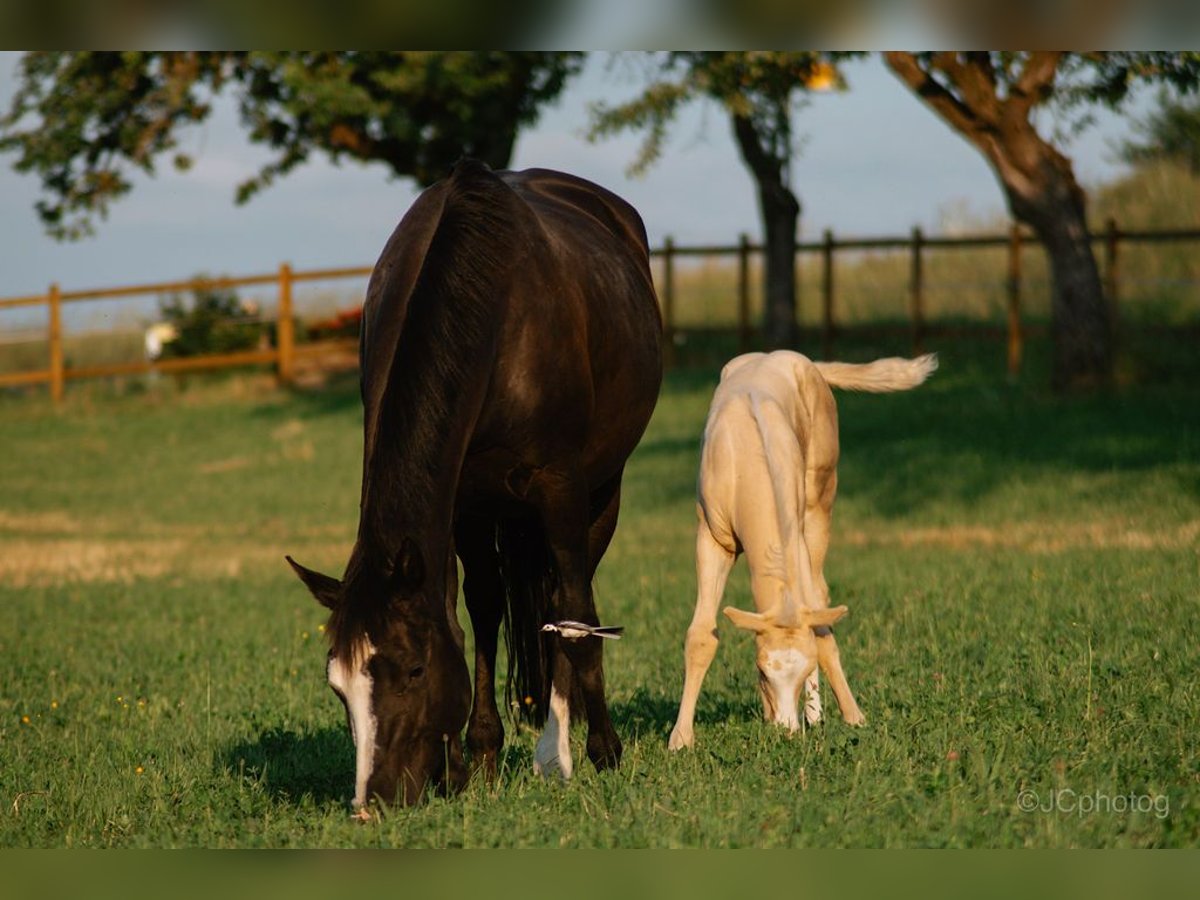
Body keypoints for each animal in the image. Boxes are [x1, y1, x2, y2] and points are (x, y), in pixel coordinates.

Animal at [288, 160, 667, 811]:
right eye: (337, 685)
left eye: (413, 669)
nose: (374, 801)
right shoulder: (463, 502)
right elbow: (480, 612)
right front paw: (477, 758)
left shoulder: (559, 488)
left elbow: (577, 622)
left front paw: (603, 753)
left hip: (601, 491)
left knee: (569, 599)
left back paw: (557, 751)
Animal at [667, 348, 936, 748]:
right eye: (762, 671)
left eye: (807, 665)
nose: (787, 731)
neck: (746, 465)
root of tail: (796, 359)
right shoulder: (711, 538)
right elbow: (701, 636)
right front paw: (681, 739)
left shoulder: (794, 538)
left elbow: (822, 628)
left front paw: (854, 718)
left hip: (820, 500)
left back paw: (816, 714)